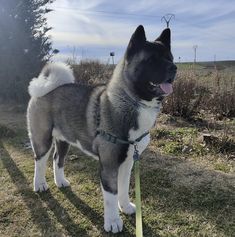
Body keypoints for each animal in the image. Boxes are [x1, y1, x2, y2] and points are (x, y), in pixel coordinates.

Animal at [26, 25, 176, 233]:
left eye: (170, 58)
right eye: (152, 60)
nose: (174, 68)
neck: (130, 101)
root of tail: (46, 88)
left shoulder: (127, 162)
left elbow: (123, 188)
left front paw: (126, 207)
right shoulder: (109, 164)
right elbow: (111, 195)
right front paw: (113, 222)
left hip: (64, 140)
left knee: (58, 159)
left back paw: (60, 182)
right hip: (42, 139)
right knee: (39, 162)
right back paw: (40, 184)